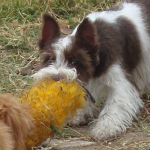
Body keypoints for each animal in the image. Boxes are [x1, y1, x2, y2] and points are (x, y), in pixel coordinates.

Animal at [33, 0, 150, 139]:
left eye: (74, 61)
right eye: (50, 59)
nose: (56, 77)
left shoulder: (120, 82)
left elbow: (114, 105)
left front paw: (105, 127)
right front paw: (77, 115)